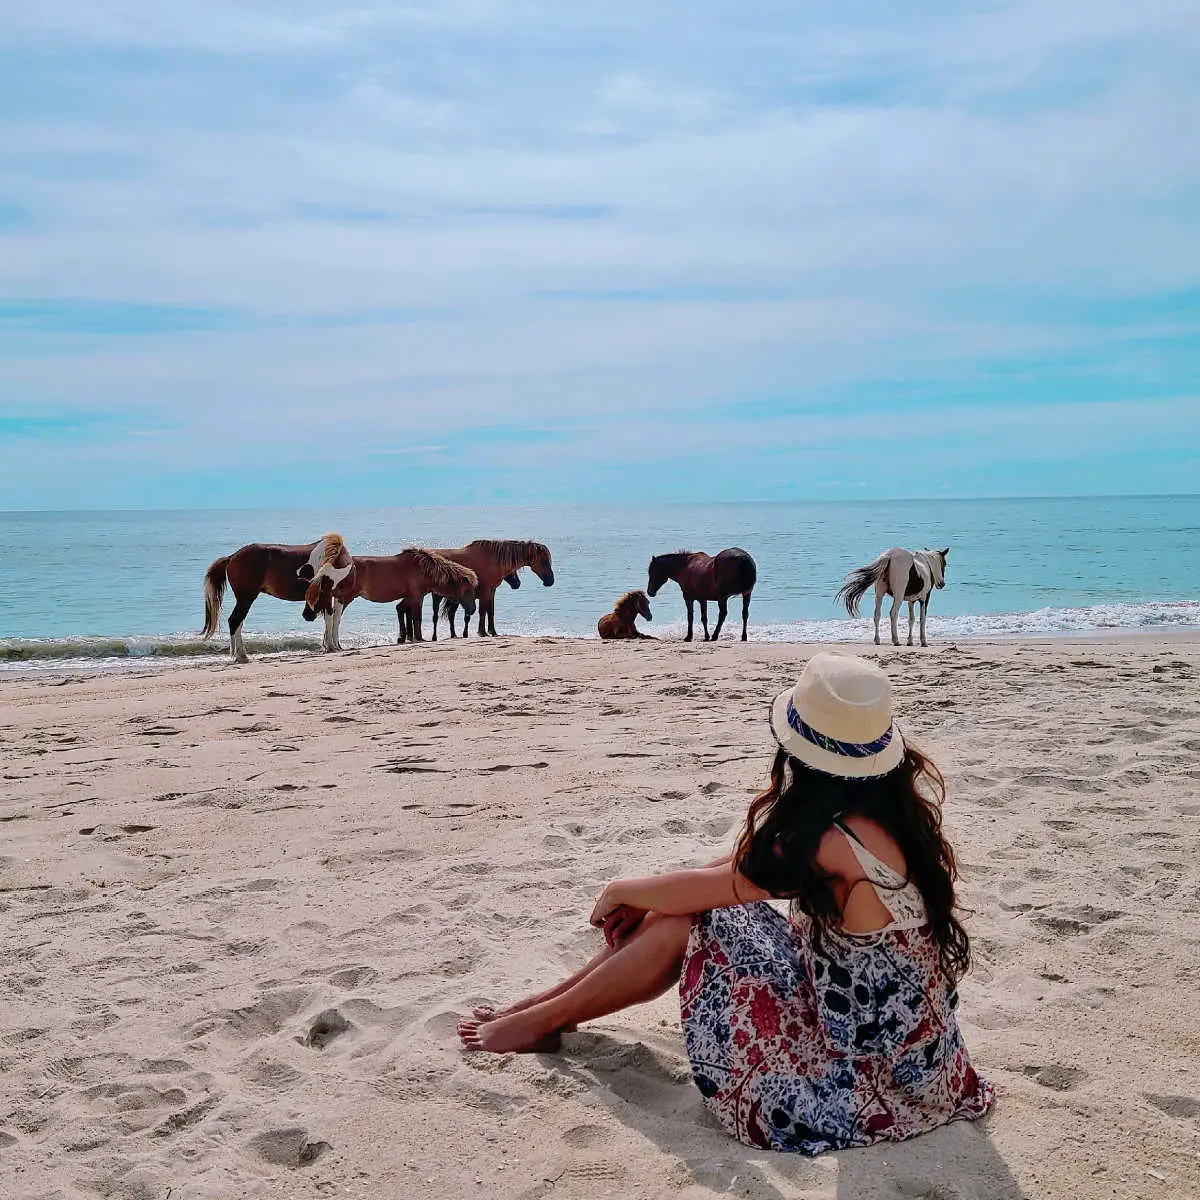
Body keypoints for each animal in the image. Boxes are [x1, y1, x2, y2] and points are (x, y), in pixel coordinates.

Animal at [202, 533, 355, 663]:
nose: (307, 616)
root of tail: (232, 557)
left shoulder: (334, 597)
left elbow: (333, 620)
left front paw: (333, 646)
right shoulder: (332, 596)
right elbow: (332, 619)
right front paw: (332, 646)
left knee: (236, 622)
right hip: (246, 599)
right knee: (235, 621)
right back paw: (241, 656)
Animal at [313, 547, 478, 645]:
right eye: (468, 590)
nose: (472, 609)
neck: (423, 569)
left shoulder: (410, 597)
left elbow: (401, 610)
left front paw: (403, 637)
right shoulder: (416, 597)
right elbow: (416, 618)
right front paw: (418, 638)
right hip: (345, 597)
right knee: (334, 617)